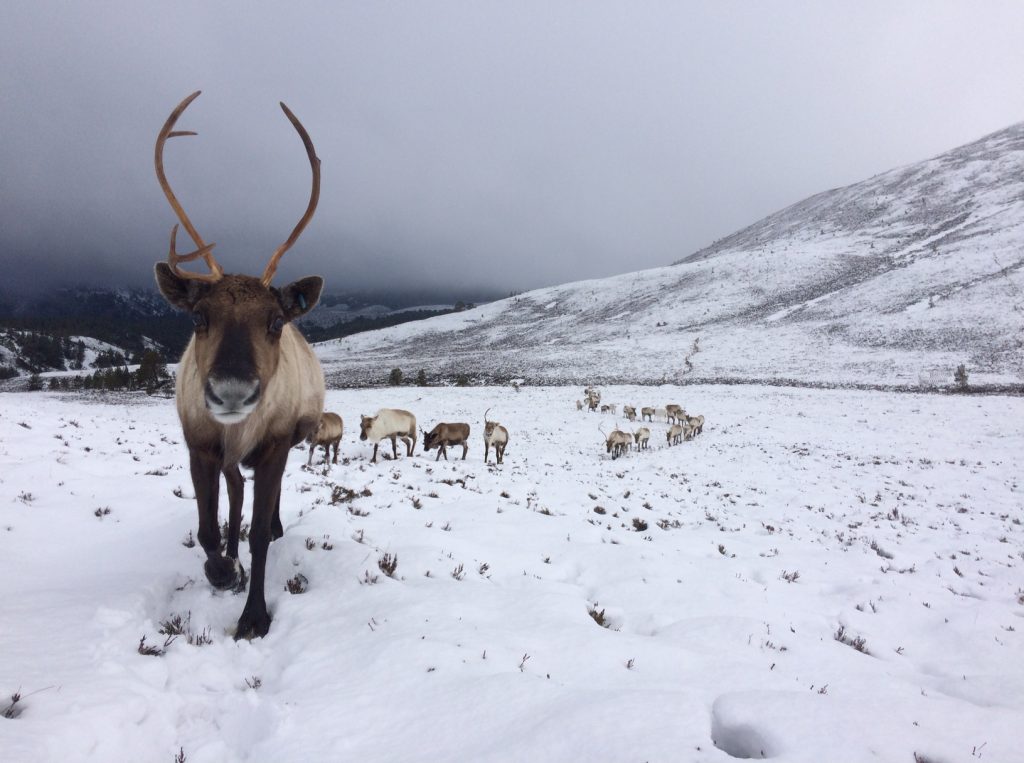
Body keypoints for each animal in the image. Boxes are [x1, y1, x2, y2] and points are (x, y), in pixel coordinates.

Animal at [152, 91, 324, 640]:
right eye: (198, 316)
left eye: (275, 321)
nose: (231, 392)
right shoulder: (200, 444)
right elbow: (208, 529)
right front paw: (224, 570)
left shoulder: (274, 444)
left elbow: (261, 536)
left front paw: (254, 616)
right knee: (233, 494)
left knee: (259, 501)